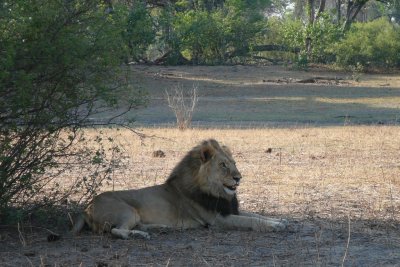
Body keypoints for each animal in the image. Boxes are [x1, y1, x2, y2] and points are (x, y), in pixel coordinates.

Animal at [72, 139, 288, 240]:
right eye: (223, 165)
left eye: (234, 163)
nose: (238, 177)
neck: (217, 192)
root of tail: (86, 207)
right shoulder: (217, 220)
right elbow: (250, 220)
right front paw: (275, 226)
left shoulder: (228, 210)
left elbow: (257, 215)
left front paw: (280, 221)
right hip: (128, 211)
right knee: (116, 231)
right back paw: (140, 235)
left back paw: (160, 228)